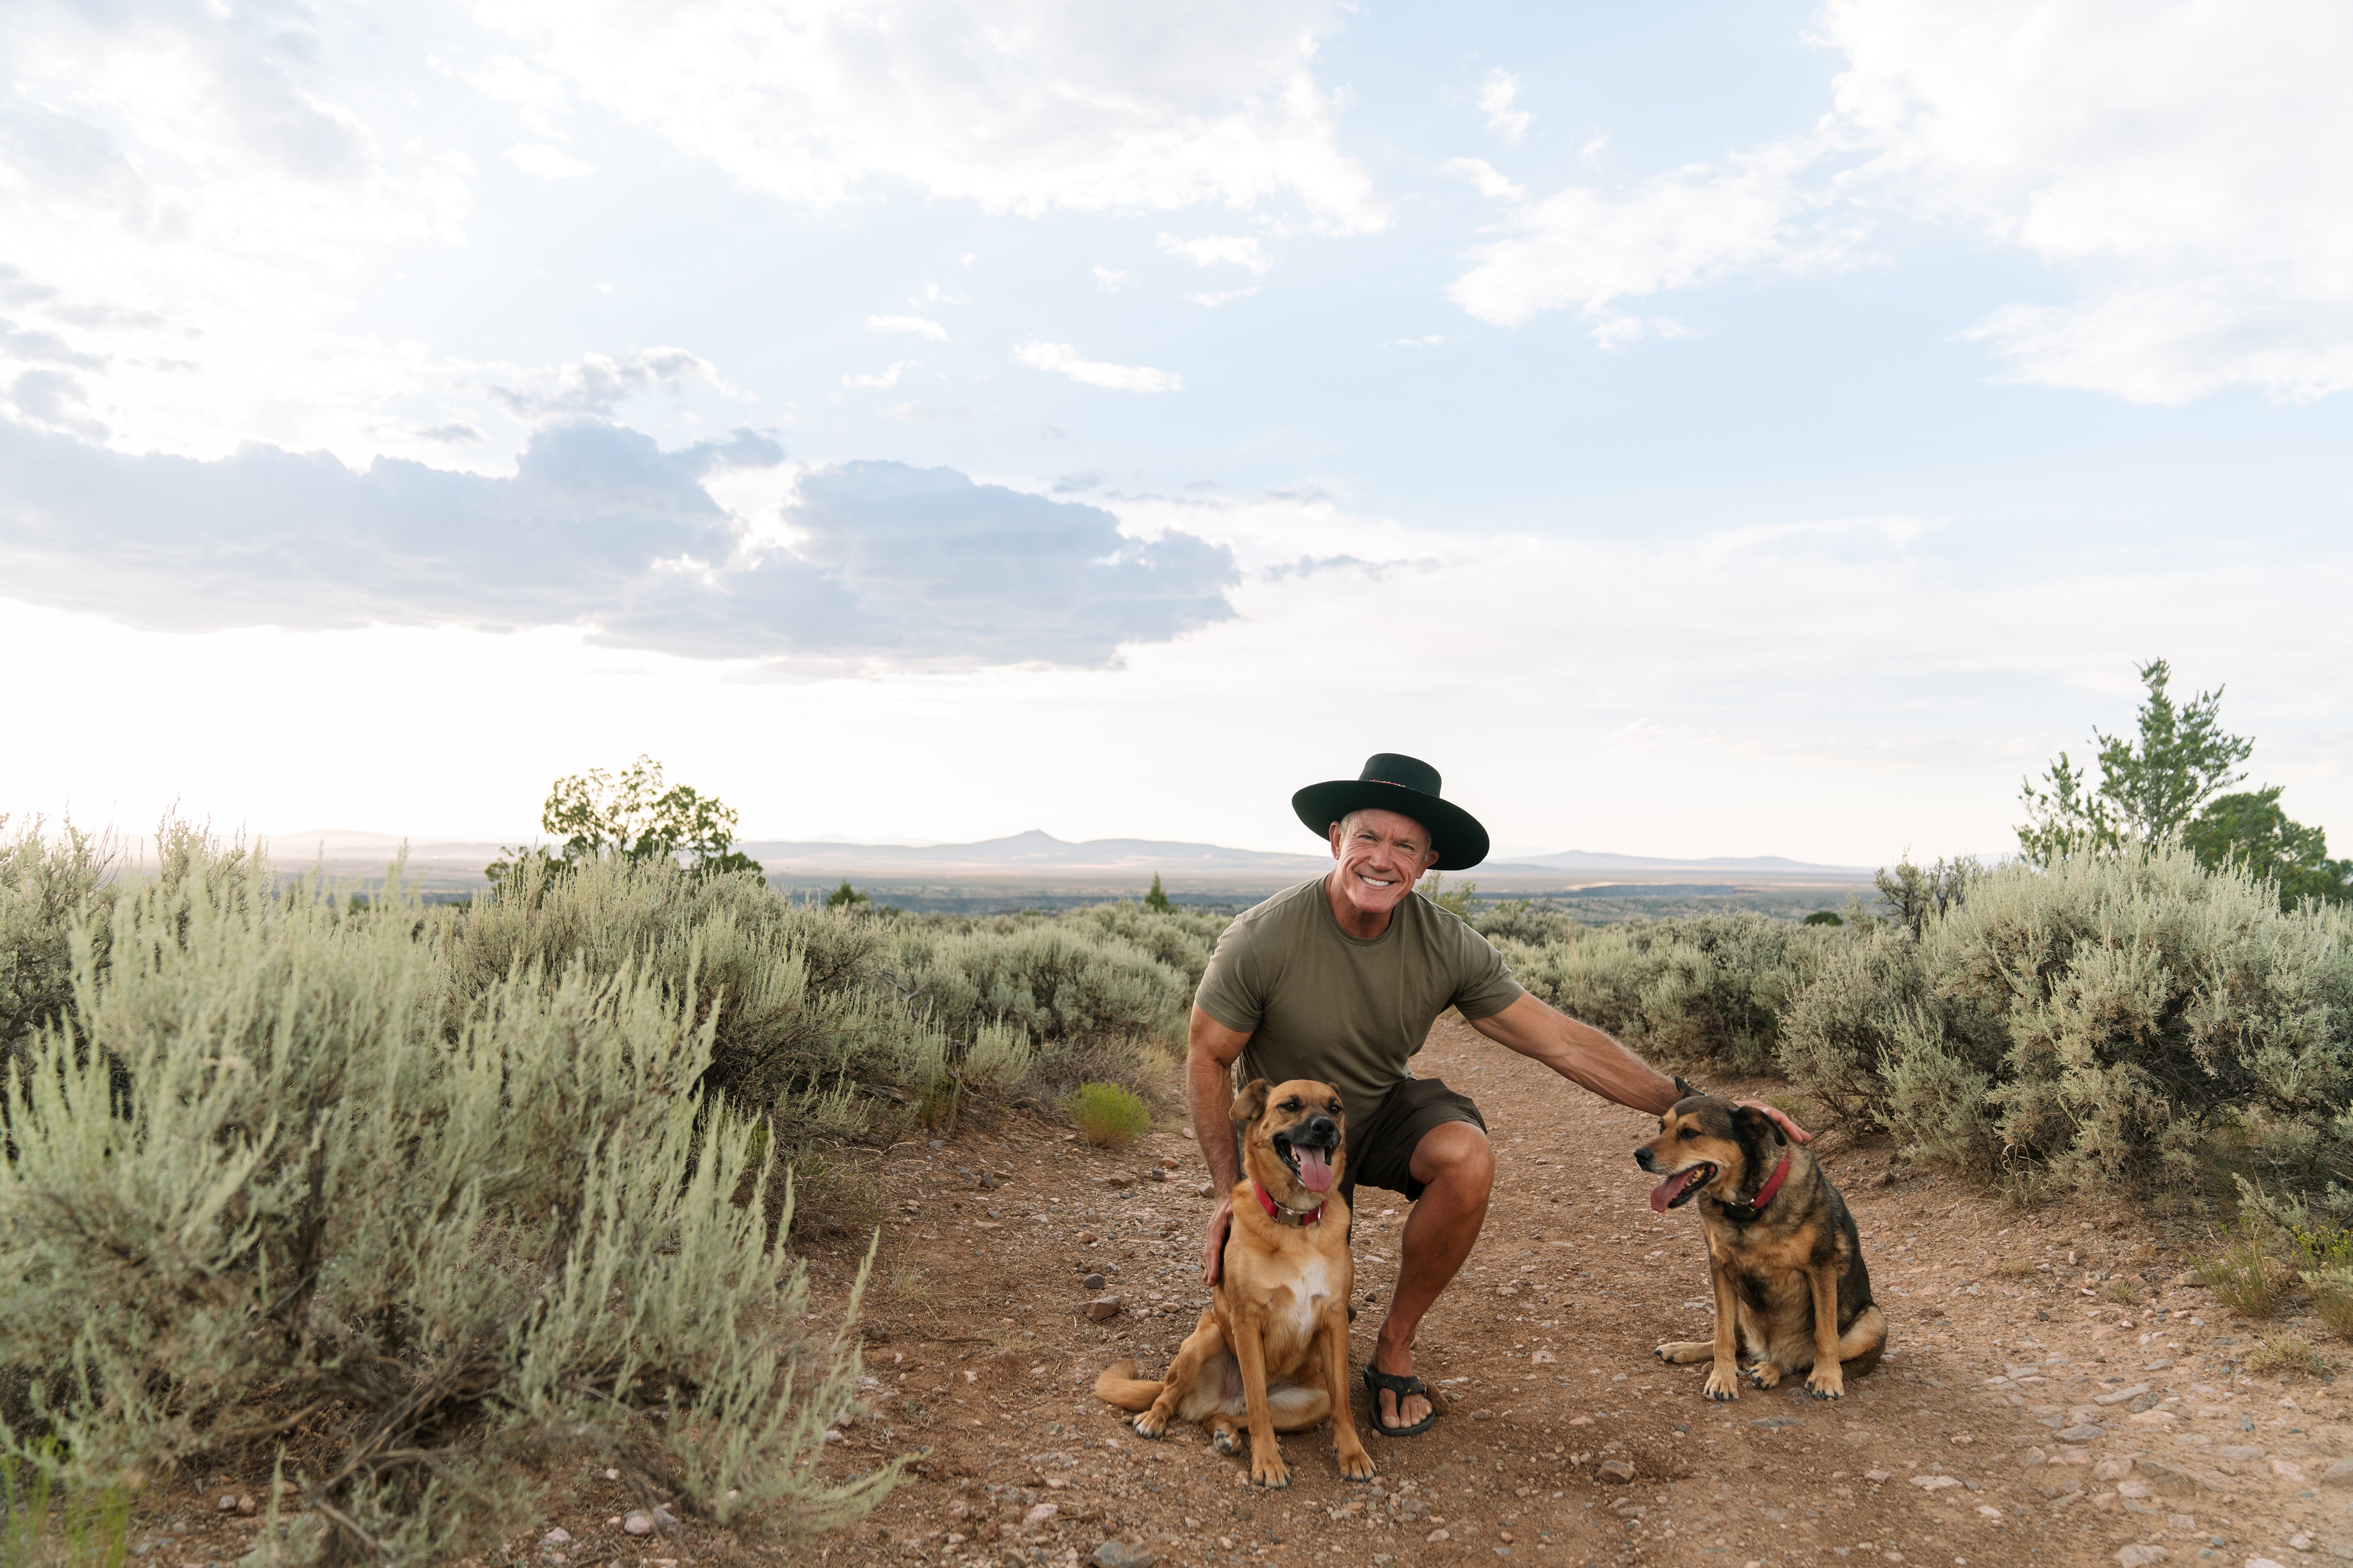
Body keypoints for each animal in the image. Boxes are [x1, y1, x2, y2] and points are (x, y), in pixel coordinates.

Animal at [1092, 1072, 1374, 1495]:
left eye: (1335, 1107)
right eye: (1290, 1105)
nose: (1325, 1127)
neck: (1296, 1222)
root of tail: (1221, 1398)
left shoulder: (1334, 1320)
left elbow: (1342, 1404)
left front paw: (1353, 1454)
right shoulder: (1246, 1320)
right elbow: (1258, 1403)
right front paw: (1268, 1463)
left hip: (1309, 1402)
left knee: (1221, 1416)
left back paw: (1227, 1433)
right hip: (1207, 1337)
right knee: (1174, 1394)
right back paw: (1155, 1419)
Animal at [1628, 1100, 1882, 1401]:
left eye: (1690, 1132)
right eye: (1661, 1126)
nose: (1639, 1156)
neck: (1747, 1207)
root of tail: (1767, 1350)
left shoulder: (1821, 1267)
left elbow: (1825, 1335)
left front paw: (1827, 1377)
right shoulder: (1720, 1268)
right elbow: (1723, 1336)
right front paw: (1722, 1378)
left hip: (1874, 1320)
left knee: (1799, 1361)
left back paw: (1771, 1369)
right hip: (1740, 1302)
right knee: (1739, 1343)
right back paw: (1687, 1350)